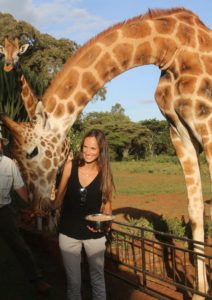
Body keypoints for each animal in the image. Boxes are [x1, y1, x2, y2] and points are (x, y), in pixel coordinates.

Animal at [0, 7, 211, 298]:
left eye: (32, 152)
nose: (36, 206)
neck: (168, 48)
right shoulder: (179, 132)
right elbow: (194, 208)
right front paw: (199, 290)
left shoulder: (207, 123)